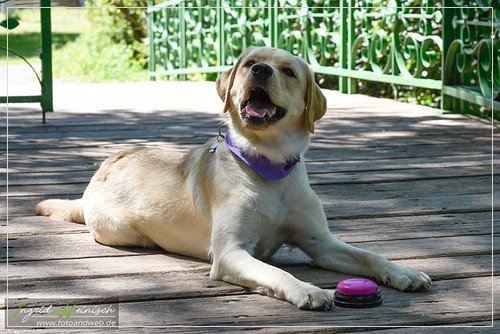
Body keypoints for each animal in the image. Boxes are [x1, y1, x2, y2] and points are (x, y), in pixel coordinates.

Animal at [36, 47, 430, 310]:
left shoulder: (321, 243)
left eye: (288, 71)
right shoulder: (230, 252)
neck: (268, 164)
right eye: (249, 63)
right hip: (118, 230)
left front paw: (403, 272)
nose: (260, 70)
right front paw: (306, 289)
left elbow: (370, 256)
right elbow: (277, 274)